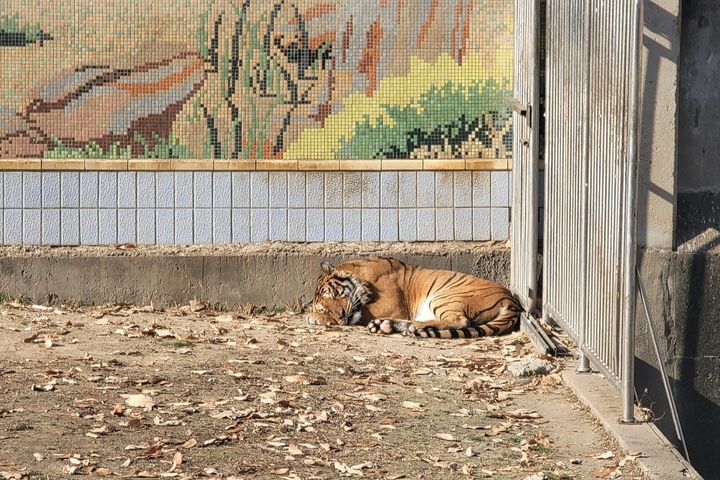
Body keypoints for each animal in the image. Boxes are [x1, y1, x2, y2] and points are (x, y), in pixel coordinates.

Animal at [304, 256, 524, 340]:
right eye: (327, 307)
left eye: (335, 294)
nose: (342, 314)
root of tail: (511, 301)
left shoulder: (388, 306)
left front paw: (313, 317)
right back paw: (386, 326)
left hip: (445, 296)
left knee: (459, 320)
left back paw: (411, 328)